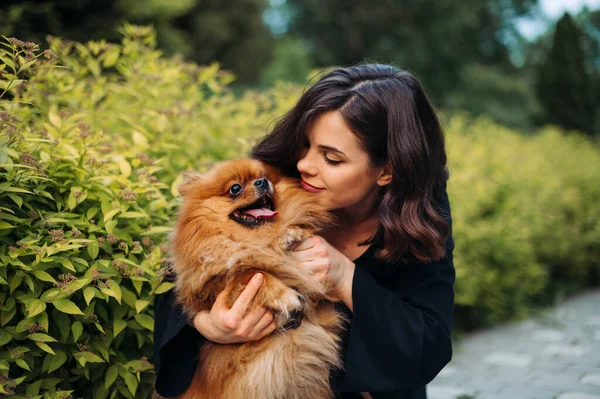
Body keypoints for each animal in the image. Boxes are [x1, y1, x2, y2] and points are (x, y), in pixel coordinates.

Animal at [171, 159, 344, 399]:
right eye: (235, 188)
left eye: (265, 176)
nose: (262, 182)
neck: (256, 241)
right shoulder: (211, 287)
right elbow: (248, 271)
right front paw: (283, 295)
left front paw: (290, 234)